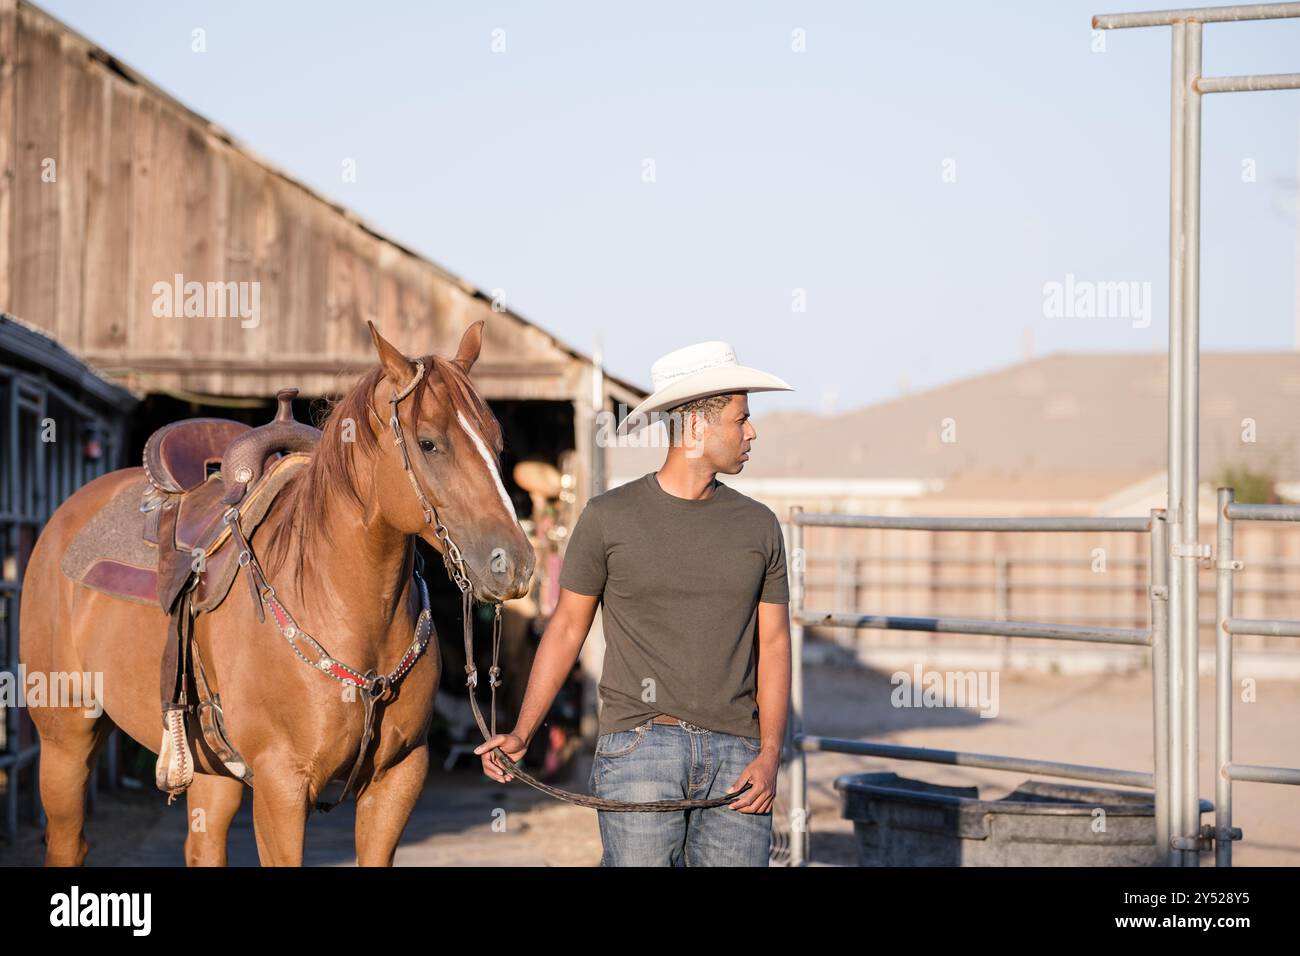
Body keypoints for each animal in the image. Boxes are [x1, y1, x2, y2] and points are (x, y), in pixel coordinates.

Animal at [19, 321, 533, 868]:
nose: (514, 563)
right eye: (429, 442)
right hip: (65, 738)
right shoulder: (281, 785)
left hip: (211, 770)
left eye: (497, 442)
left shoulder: (399, 777)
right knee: (68, 840)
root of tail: (63, 521)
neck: (339, 605)